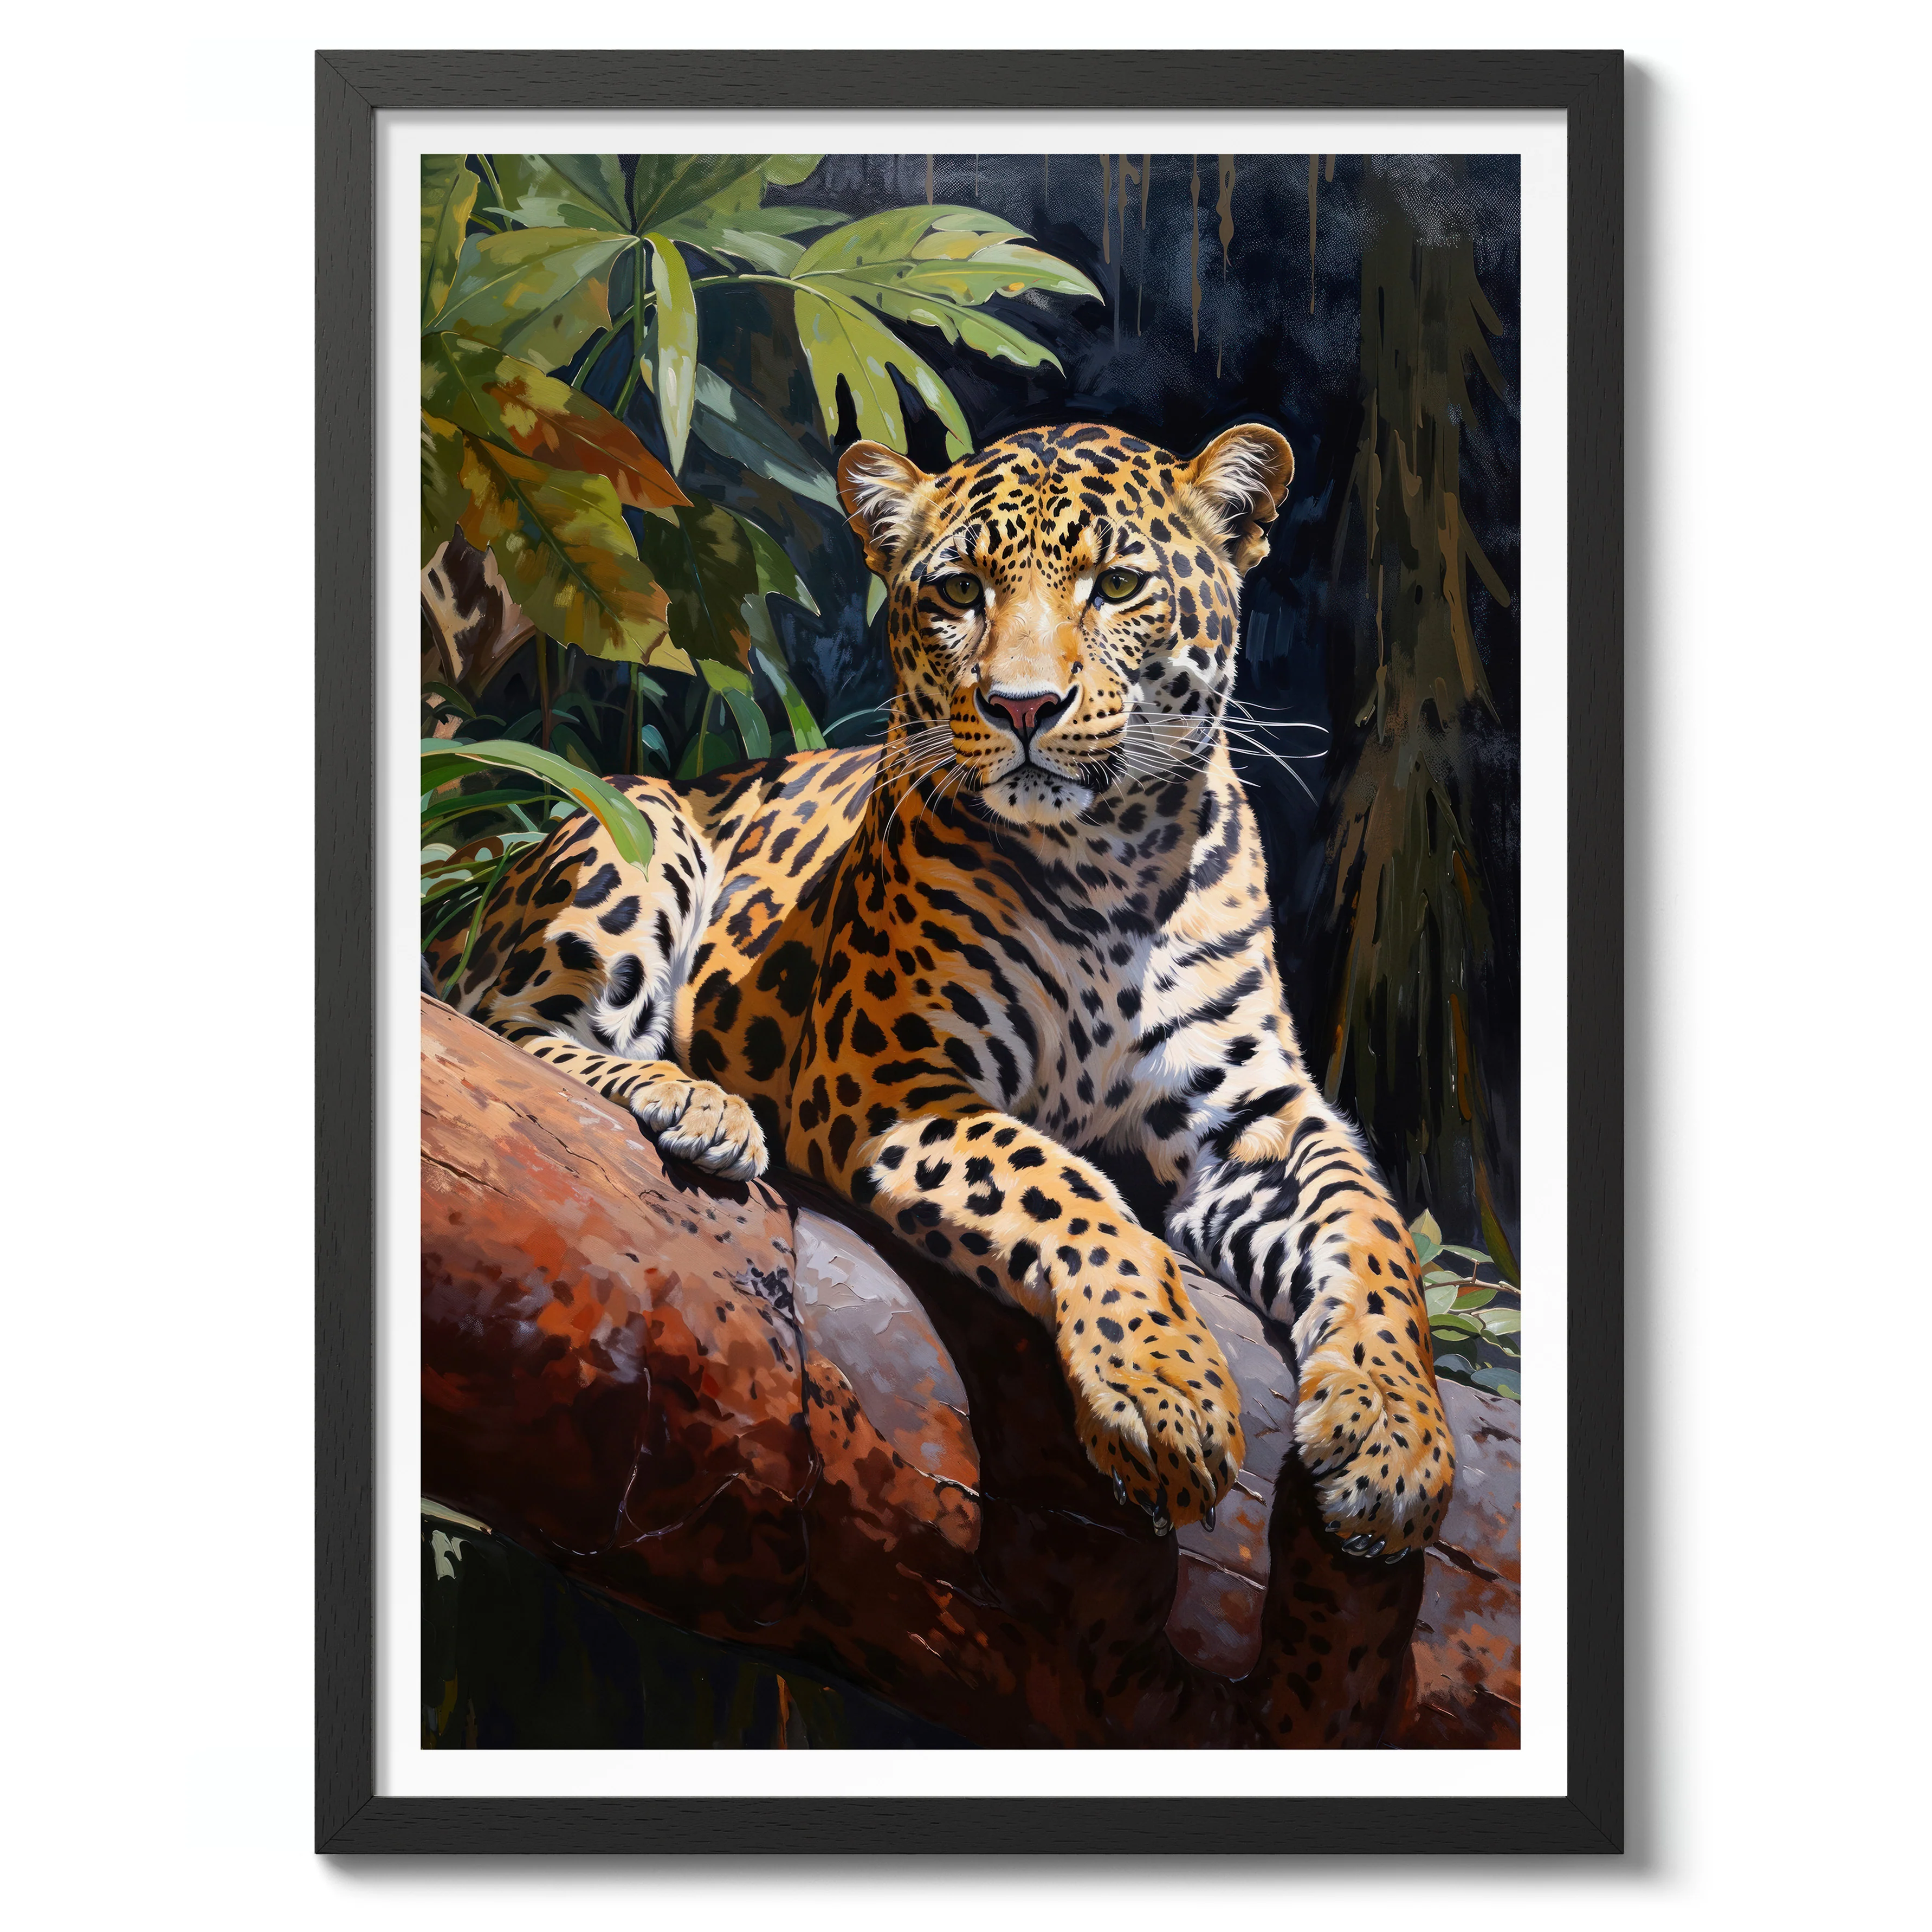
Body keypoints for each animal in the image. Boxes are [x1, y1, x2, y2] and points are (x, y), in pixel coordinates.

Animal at [426, 420, 1455, 1558]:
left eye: (1118, 585)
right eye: (960, 590)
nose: (1022, 706)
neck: (1111, 864)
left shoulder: (1257, 1119)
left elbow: (1373, 1233)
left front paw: (1394, 1441)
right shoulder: (886, 1080)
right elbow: (1064, 1184)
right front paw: (1162, 1388)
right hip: (642, 820)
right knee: (504, 1026)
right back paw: (694, 1102)